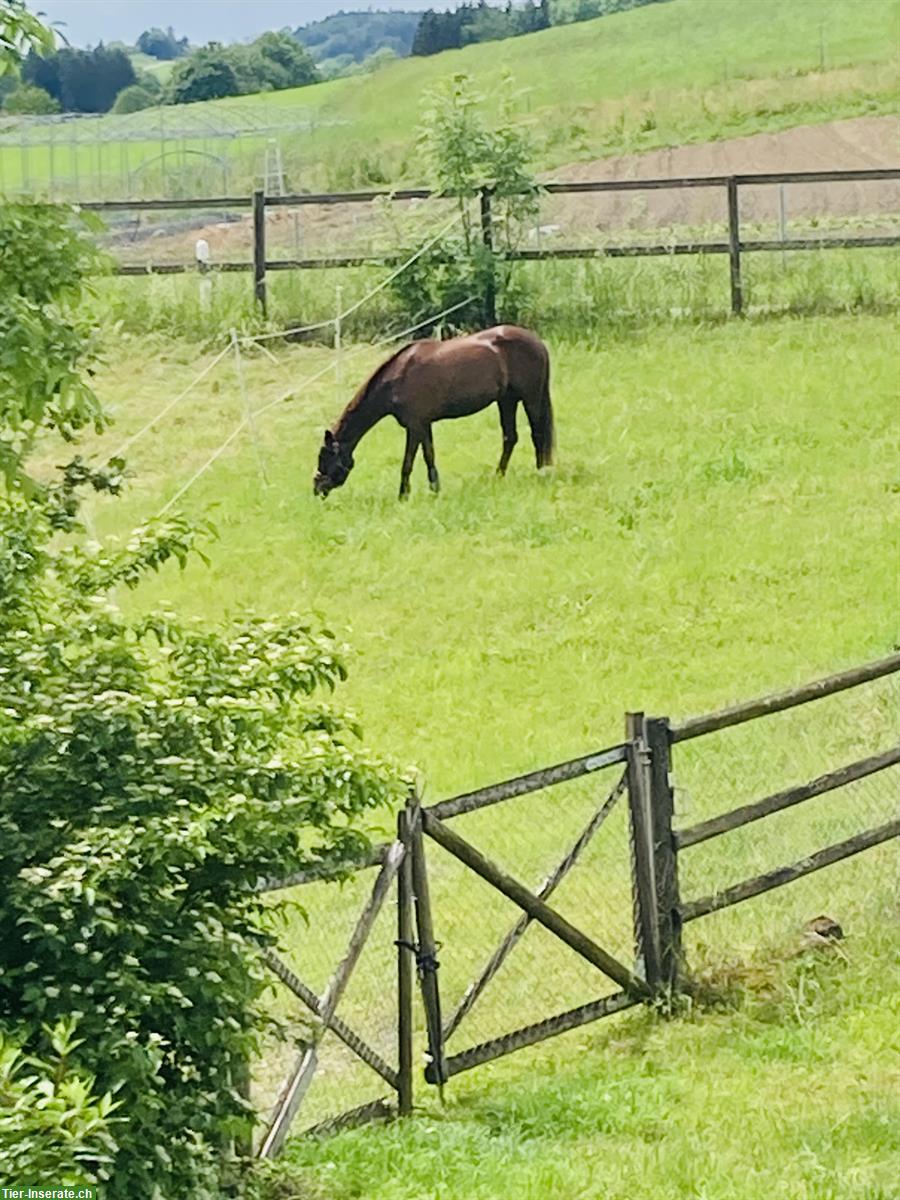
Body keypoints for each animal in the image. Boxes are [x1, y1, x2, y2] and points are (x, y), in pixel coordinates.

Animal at [316, 321, 556, 499]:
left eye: (324, 458)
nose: (317, 489)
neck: (397, 379)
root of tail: (537, 342)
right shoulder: (424, 425)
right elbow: (428, 455)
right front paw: (434, 489)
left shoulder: (414, 426)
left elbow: (409, 462)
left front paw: (403, 495)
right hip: (507, 401)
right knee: (510, 438)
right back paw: (498, 476)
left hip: (530, 399)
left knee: (537, 434)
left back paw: (542, 473)